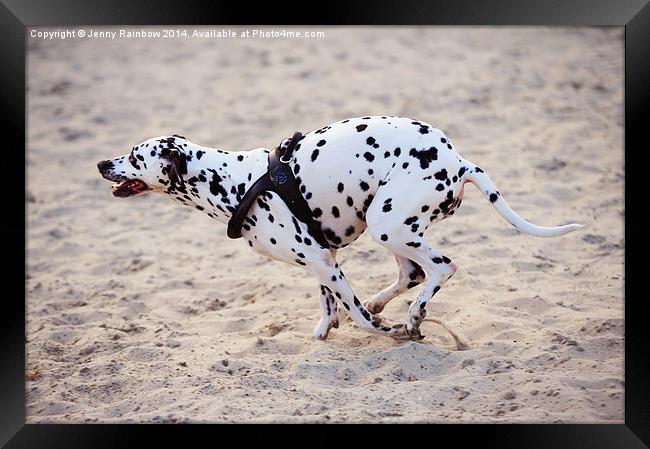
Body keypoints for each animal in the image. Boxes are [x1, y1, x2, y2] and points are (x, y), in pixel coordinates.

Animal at [95, 115, 576, 340]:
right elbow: (330, 306)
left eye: (135, 156)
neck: (236, 182)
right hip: (394, 228)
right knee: (412, 273)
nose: (101, 163)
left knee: (441, 268)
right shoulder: (321, 259)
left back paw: (412, 316)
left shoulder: (321, 261)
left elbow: (357, 314)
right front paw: (326, 330)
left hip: (389, 225)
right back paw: (390, 303)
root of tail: (458, 160)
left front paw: (383, 330)